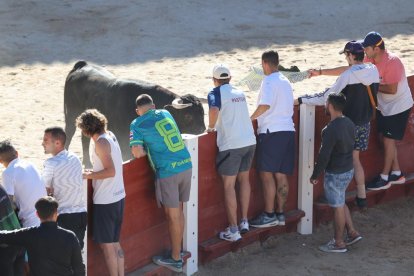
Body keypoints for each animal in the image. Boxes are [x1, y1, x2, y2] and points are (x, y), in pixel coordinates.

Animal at [64, 61, 205, 165]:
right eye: (188, 116)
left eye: (203, 113)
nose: (202, 129)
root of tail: (82, 65)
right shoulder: (123, 139)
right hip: (70, 113)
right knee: (69, 132)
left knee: (84, 138)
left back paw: (87, 163)